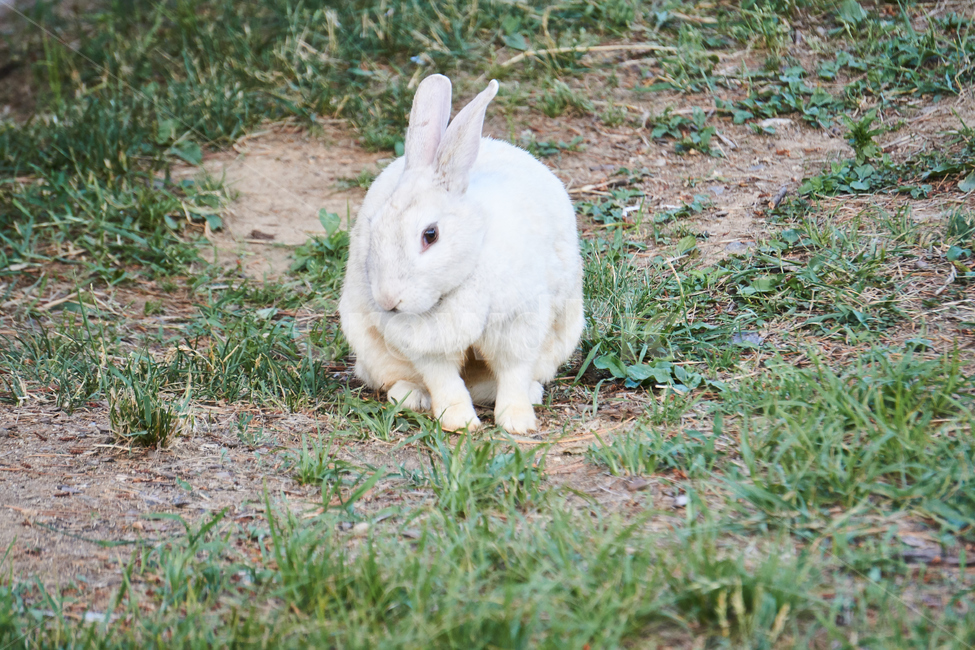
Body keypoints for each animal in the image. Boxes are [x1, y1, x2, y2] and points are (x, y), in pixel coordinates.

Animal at [338, 74, 583, 434]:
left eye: (430, 235)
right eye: (374, 227)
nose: (387, 300)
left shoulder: (519, 327)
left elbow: (514, 373)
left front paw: (517, 422)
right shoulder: (425, 346)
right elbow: (445, 382)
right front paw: (461, 423)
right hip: (371, 349)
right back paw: (411, 397)